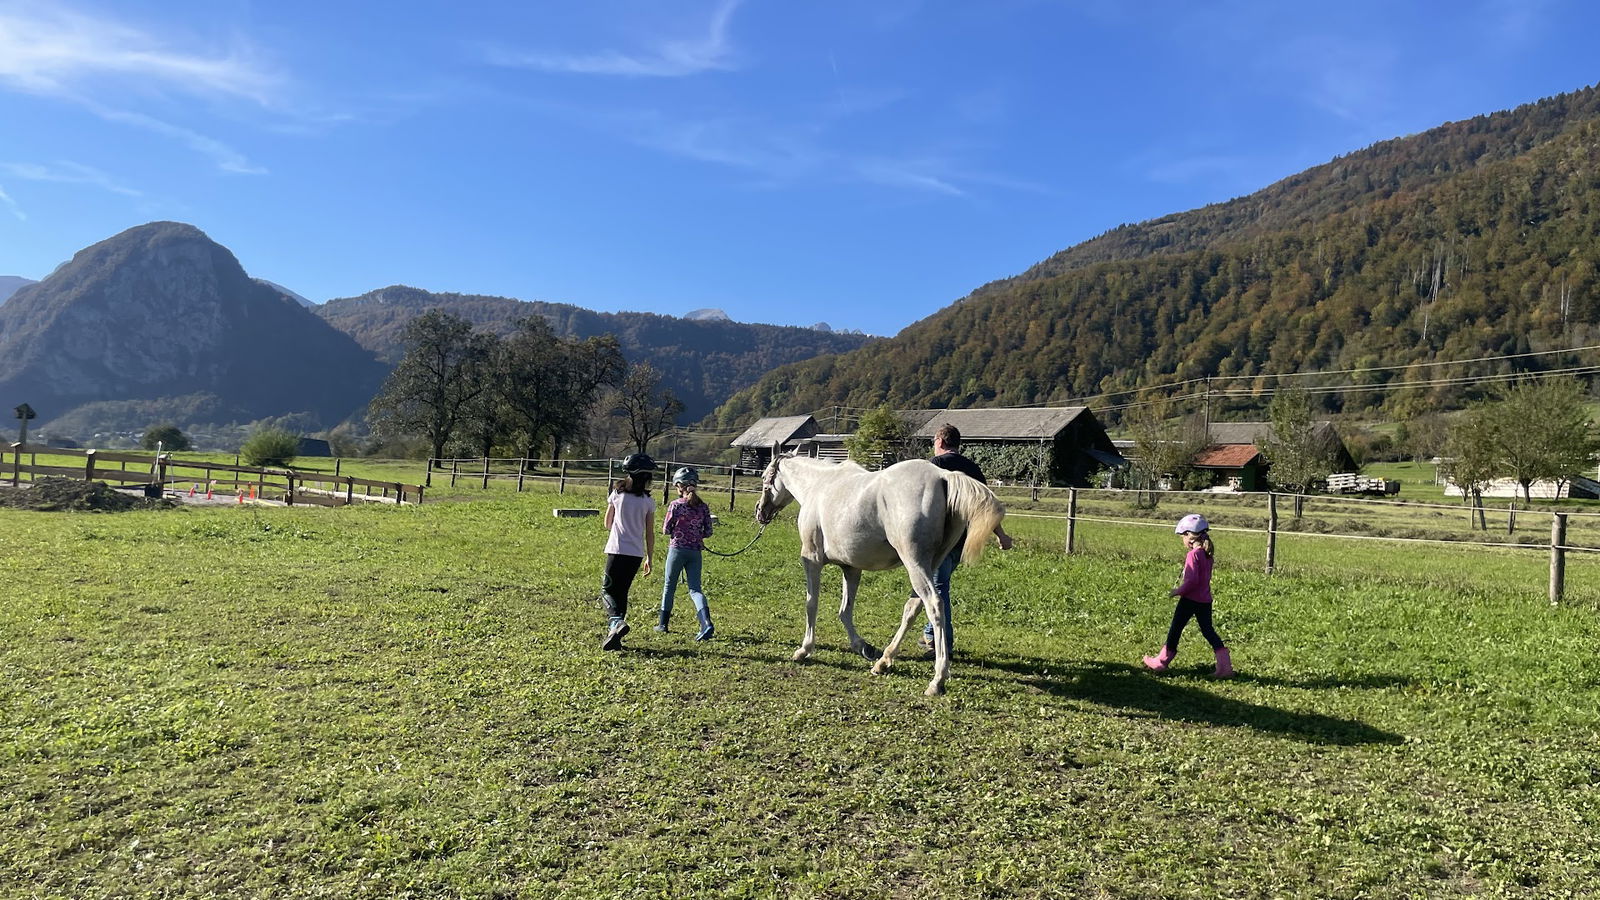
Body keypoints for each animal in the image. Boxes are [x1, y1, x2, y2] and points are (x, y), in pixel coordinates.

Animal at [755, 454, 1004, 695]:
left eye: (766, 477)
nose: (760, 510)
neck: (819, 485)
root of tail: (943, 475)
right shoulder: (851, 568)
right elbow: (845, 611)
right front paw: (863, 647)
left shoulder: (812, 559)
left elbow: (811, 604)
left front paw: (804, 650)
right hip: (931, 564)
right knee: (912, 608)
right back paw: (884, 661)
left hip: (915, 563)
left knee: (934, 604)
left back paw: (937, 680)